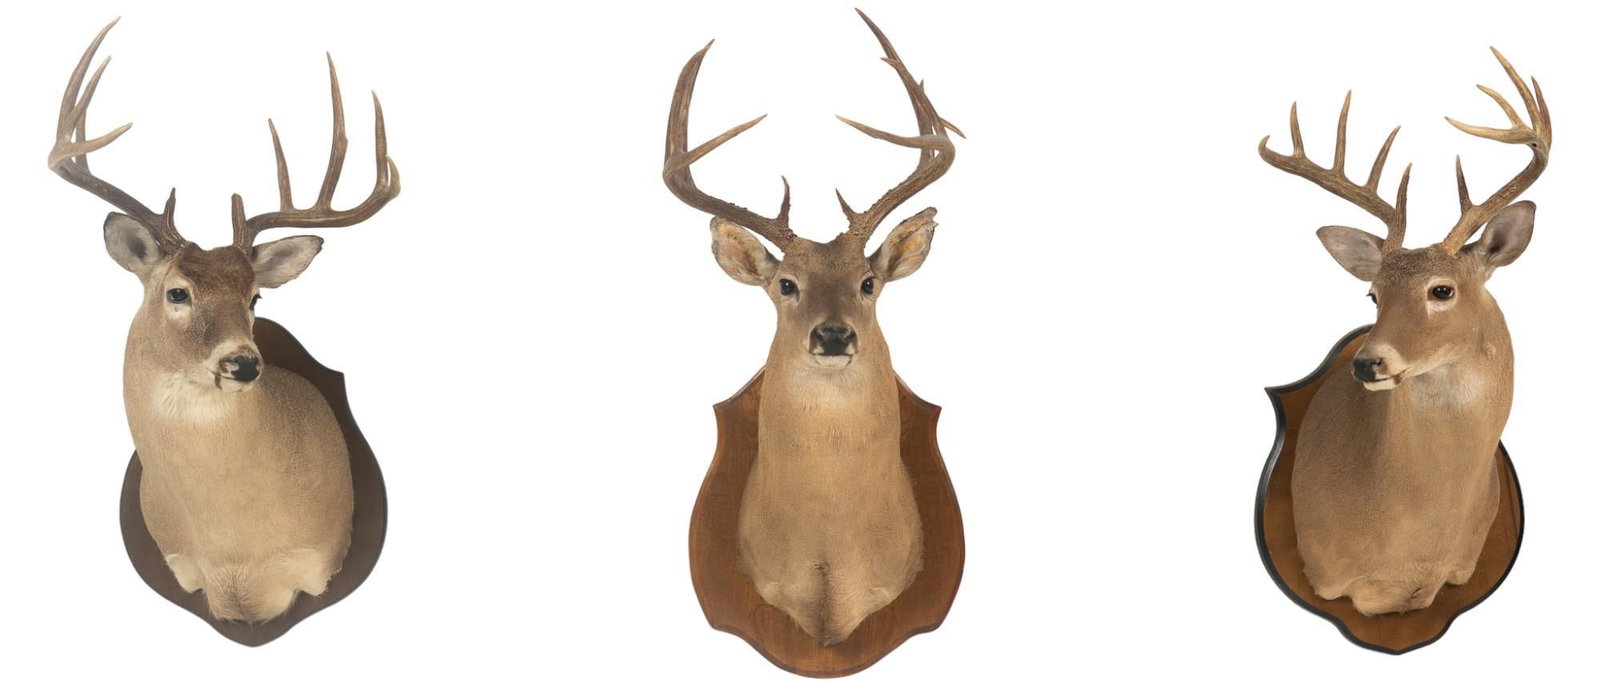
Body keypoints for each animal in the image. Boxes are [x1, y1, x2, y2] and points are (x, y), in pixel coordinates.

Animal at [49, 21, 399, 623]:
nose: (244, 362)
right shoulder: (182, 567)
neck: (234, 554)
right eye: (177, 292)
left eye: (255, 297)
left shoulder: (322, 561)